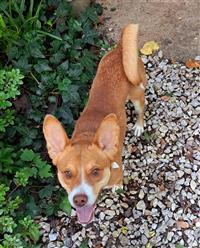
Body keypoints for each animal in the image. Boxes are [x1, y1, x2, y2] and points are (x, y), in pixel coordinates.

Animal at [43, 24, 146, 224]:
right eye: (67, 173)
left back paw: (138, 126)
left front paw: (117, 187)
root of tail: (119, 49)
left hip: (137, 95)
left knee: (141, 111)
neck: (86, 136)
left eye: (96, 171)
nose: (79, 199)